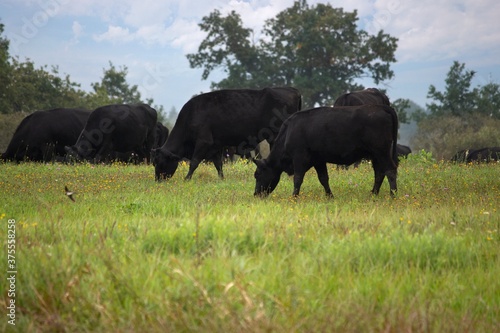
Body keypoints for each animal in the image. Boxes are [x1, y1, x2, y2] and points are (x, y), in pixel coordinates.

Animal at [152, 85, 300, 179]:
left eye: (159, 162)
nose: (158, 179)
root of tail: (293, 90)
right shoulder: (215, 146)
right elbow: (218, 164)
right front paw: (221, 178)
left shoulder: (204, 142)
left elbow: (194, 162)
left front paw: (187, 178)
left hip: (275, 136)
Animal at [254, 105, 398, 196]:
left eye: (258, 174)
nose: (256, 194)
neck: (289, 131)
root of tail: (381, 107)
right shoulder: (318, 160)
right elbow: (323, 178)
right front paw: (330, 196)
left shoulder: (299, 158)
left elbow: (298, 179)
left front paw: (294, 196)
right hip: (375, 155)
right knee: (379, 173)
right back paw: (374, 194)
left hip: (382, 151)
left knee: (390, 170)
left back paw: (393, 195)